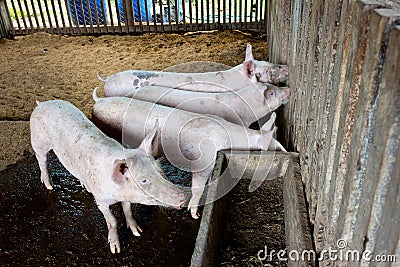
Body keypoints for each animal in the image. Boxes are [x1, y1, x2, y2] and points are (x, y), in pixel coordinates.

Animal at [30, 100, 187, 253]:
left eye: (160, 170)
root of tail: (42, 103)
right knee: (42, 161)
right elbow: (112, 221)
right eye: (144, 180)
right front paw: (115, 250)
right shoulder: (101, 200)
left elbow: (128, 210)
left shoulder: (126, 197)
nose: (185, 195)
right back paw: (49, 186)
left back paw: (85, 186)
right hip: (38, 142)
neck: (117, 193)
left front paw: (138, 232)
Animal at [92, 89, 286, 219]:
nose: (288, 152)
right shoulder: (203, 160)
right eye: (276, 147)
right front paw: (194, 214)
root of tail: (98, 100)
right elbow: (197, 186)